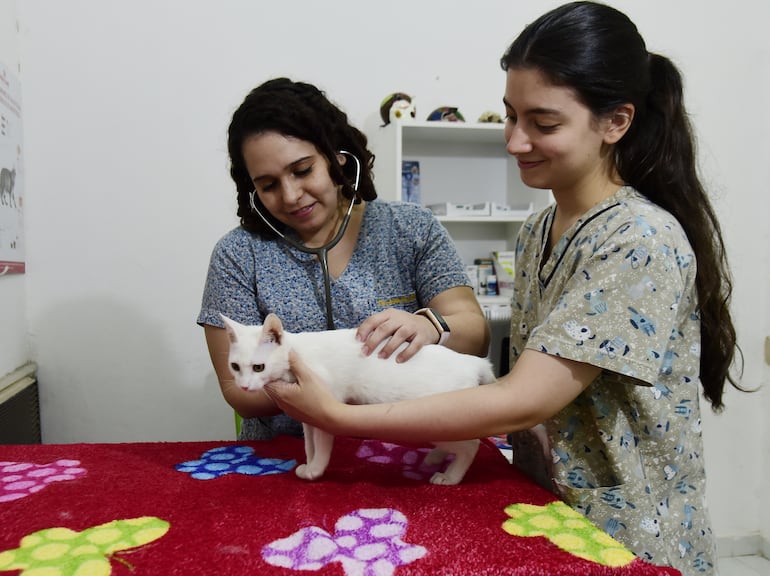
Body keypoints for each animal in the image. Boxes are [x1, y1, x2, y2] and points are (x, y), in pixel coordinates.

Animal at [220, 312, 498, 484]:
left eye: (258, 367)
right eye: (235, 367)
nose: (244, 387)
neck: (296, 352)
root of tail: (473, 362)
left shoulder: (321, 407)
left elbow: (321, 448)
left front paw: (315, 471)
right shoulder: (306, 417)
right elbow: (309, 445)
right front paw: (308, 464)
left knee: (472, 445)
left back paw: (450, 476)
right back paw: (436, 458)